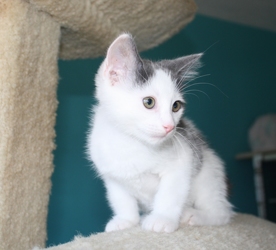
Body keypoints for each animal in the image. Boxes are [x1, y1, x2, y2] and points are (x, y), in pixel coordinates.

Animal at [87, 32, 234, 232]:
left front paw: (162, 219)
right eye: (149, 102)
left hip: (209, 175)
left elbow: (170, 194)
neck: (133, 144)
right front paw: (126, 220)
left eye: (176, 106)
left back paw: (194, 215)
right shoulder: (111, 175)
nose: (170, 126)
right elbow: (121, 199)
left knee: (222, 213)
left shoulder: (183, 161)